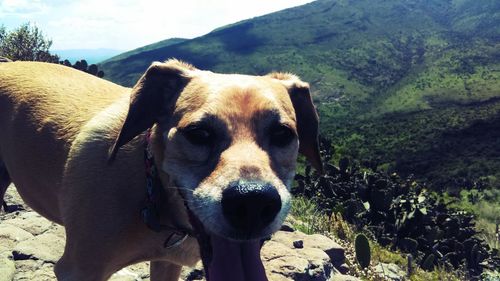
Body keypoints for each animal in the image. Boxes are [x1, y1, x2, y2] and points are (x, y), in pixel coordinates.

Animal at [0, 59, 322, 280]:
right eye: (199, 133)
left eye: (282, 134)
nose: (252, 203)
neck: (151, 191)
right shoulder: (78, 270)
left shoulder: (168, 263)